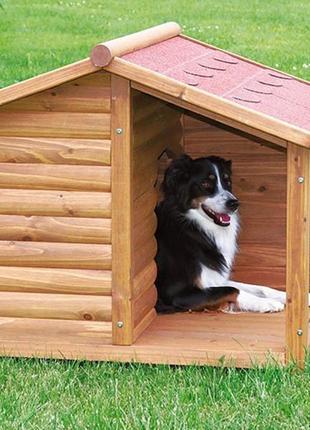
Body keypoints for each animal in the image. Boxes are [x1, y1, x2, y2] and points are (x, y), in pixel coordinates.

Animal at [155, 155, 308, 312]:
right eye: (205, 183)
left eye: (227, 182)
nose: (234, 203)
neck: (191, 225)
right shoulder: (176, 294)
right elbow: (232, 289)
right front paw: (267, 303)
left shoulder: (214, 279)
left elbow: (258, 287)